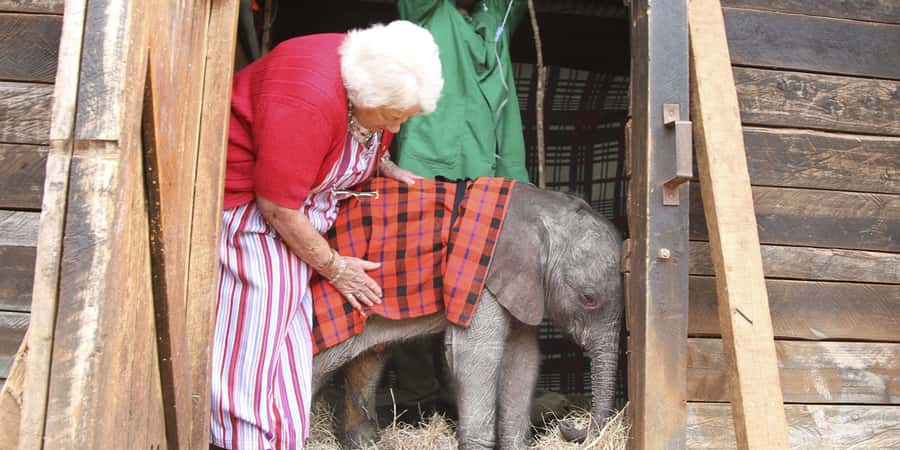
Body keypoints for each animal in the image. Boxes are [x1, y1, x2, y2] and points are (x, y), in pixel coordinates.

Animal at [311, 182, 624, 449]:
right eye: (588, 299)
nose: (569, 425)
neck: (543, 207)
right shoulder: (484, 275)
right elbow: (478, 354)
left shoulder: (522, 284)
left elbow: (523, 357)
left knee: (368, 359)